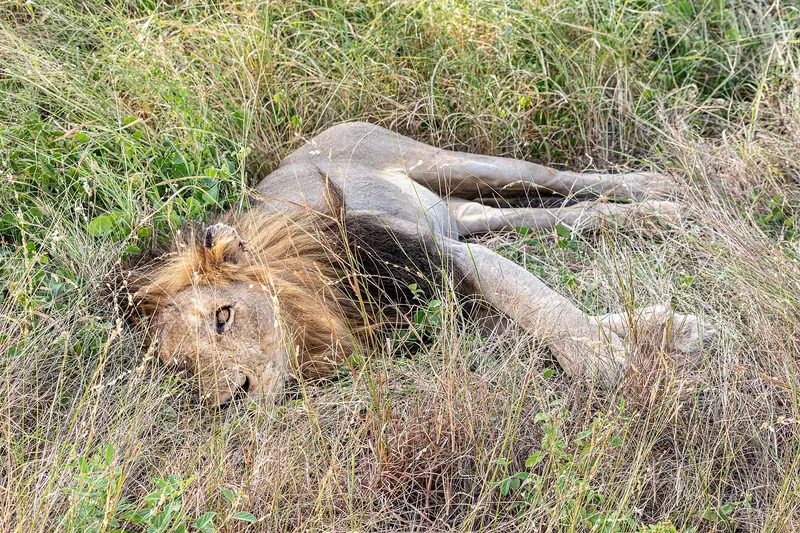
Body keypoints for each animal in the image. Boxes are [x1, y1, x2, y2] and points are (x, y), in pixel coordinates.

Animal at [125, 122, 716, 406]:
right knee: (540, 217)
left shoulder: (441, 256)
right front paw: (666, 326)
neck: (318, 303)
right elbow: (532, 314)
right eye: (182, 369)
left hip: (451, 164)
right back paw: (657, 215)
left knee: (558, 179)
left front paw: (605, 362)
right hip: (461, 211)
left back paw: (660, 190)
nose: (232, 399)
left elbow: (537, 303)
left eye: (223, 317)